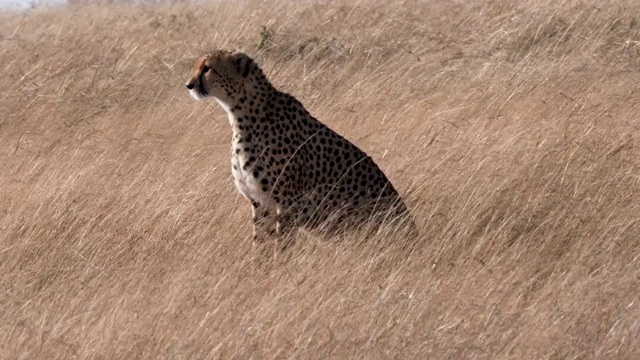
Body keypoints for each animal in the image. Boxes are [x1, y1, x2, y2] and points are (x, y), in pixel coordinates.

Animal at [185, 50, 416, 240]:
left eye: (207, 68)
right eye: (197, 66)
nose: (189, 85)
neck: (241, 115)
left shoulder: (288, 203)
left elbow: (281, 244)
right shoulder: (260, 202)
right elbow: (260, 242)